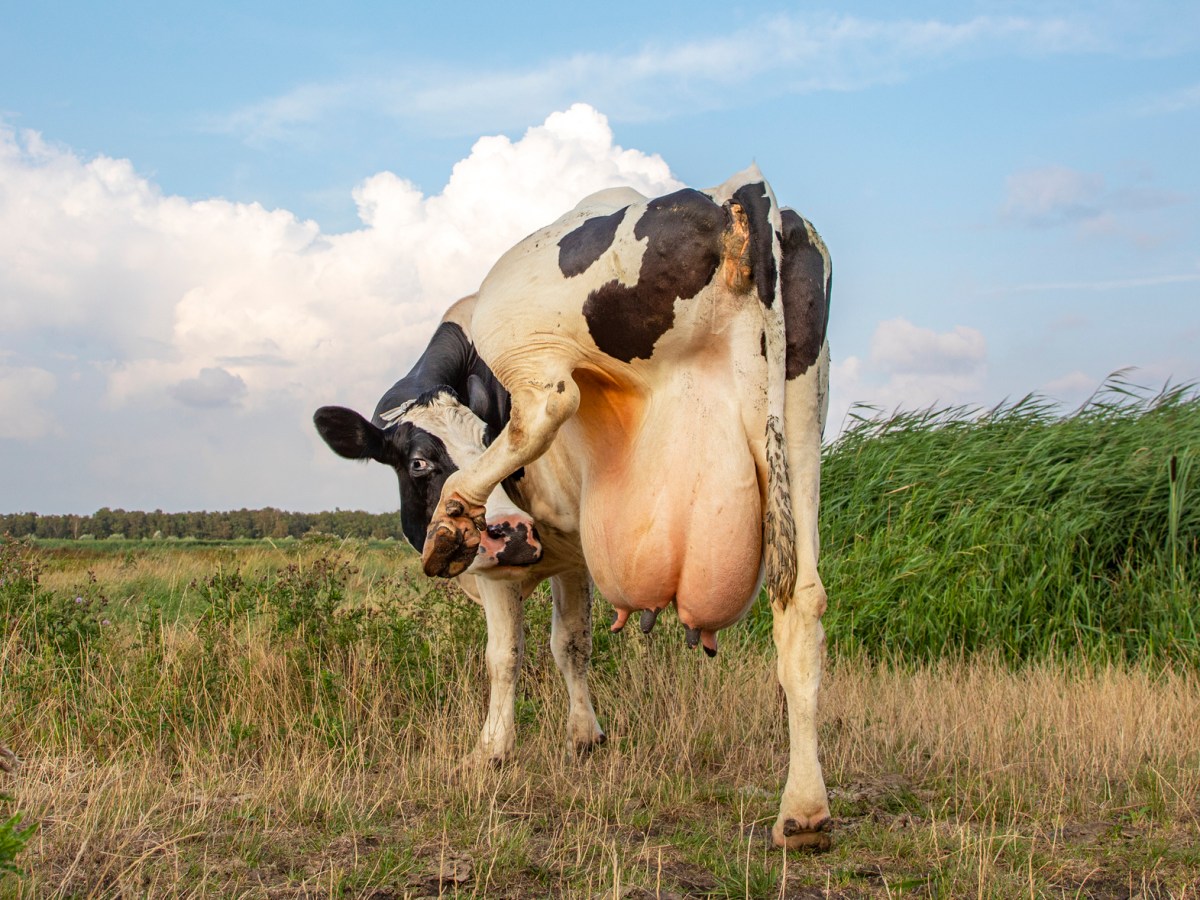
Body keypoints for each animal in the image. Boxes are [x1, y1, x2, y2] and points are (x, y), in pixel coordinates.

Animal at [314, 166, 833, 850]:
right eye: (418, 462)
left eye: (485, 433)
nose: (509, 531)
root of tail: (737, 191)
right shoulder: (573, 555)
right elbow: (574, 643)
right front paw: (585, 736)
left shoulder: (500, 571)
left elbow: (506, 657)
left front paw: (492, 750)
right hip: (798, 424)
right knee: (801, 605)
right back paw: (804, 810)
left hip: (522, 312)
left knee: (550, 401)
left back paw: (455, 514)